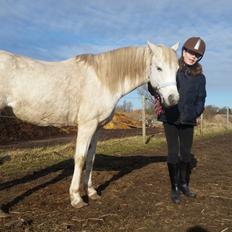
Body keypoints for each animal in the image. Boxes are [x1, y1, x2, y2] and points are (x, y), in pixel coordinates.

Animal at [0, 41, 179, 208]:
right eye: (159, 68)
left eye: (177, 69)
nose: (173, 99)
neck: (102, 80)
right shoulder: (87, 125)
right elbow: (80, 158)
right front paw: (76, 198)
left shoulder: (97, 127)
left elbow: (91, 158)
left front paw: (91, 192)